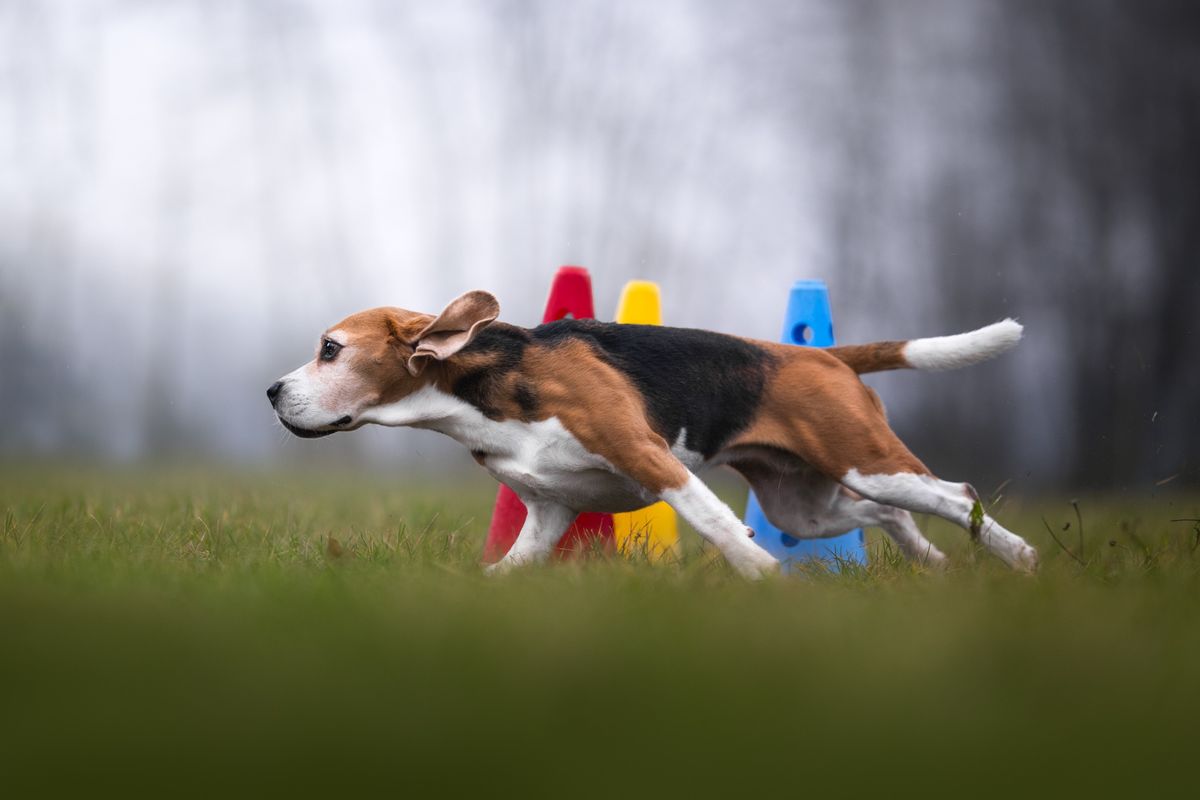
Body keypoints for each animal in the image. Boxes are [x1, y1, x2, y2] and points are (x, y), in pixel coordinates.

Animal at [267, 292, 1036, 575]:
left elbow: (717, 523)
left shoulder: (649, 456)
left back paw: (1022, 560)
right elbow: (508, 568)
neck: (477, 396)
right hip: (805, 507)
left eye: (330, 350)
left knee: (954, 494)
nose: (272, 393)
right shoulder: (547, 512)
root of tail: (820, 355)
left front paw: (761, 575)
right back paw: (932, 565)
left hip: (865, 458)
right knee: (884, 514)